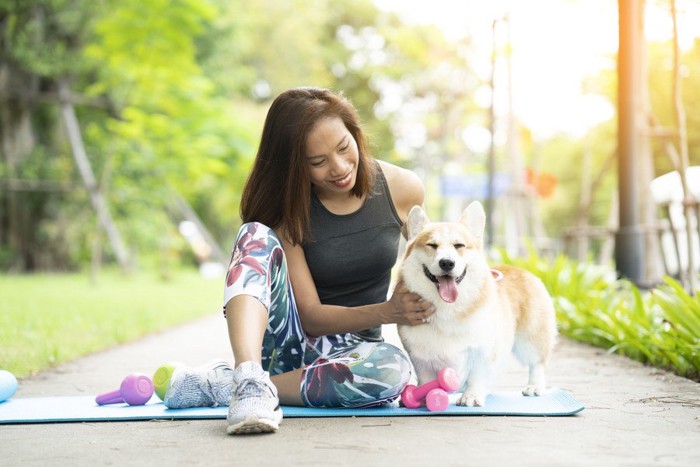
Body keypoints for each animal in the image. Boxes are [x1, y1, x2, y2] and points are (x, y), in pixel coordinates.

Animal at [400, 203, 556, 408]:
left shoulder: (484, 351)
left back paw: (534, 386)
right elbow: (427, 380)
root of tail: (523, 270)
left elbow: (477, 376)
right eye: (432, 245)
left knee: (537, 363)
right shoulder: (421, 359)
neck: (447, 308)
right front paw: (423, 397)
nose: (447, 263)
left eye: (459, 246)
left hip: (530, 339)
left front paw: (471, 397)